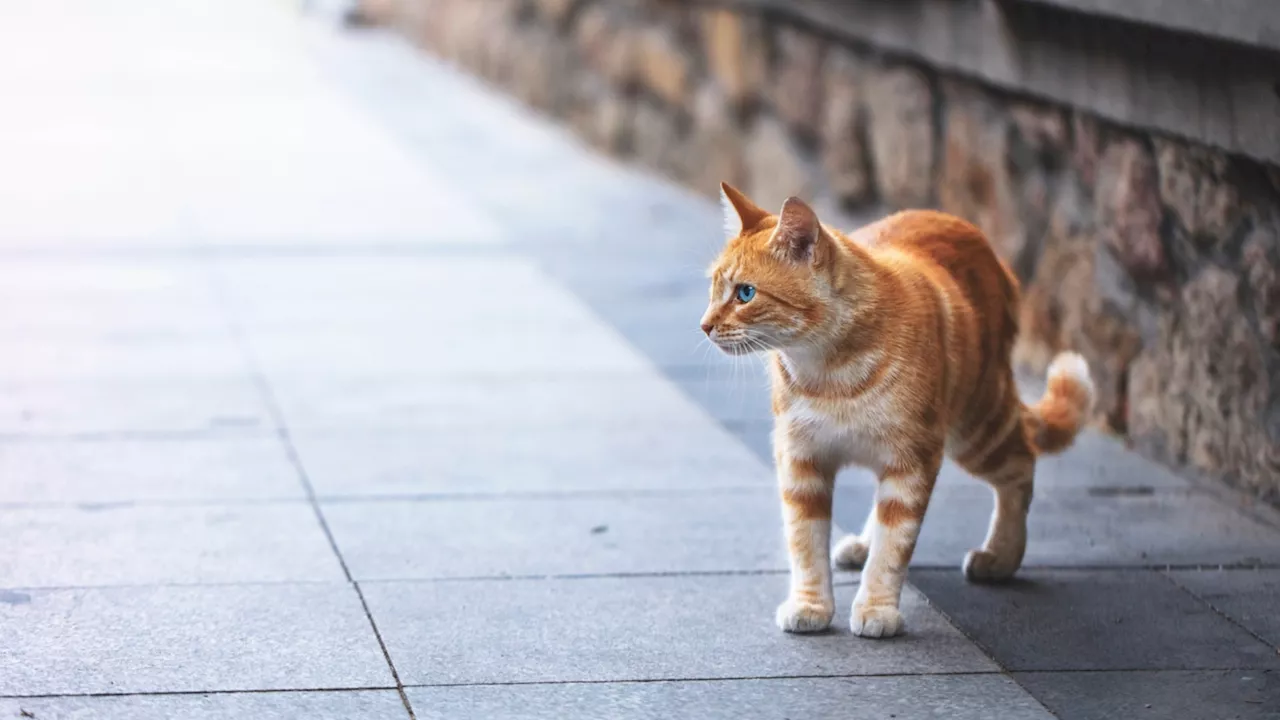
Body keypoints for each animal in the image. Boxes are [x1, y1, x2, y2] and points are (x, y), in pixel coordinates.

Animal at [706, 183, 1095, 632]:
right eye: (712, 290)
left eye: (745, 293)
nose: (704, 325)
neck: (830, 374)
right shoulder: (801, 460)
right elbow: (805, 542)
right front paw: (811, 605)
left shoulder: (913, 460)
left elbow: (893, 547)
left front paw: (877, 608)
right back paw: (863, 544)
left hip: (978, 428)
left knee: (1021, 466)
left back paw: (1001, 555)